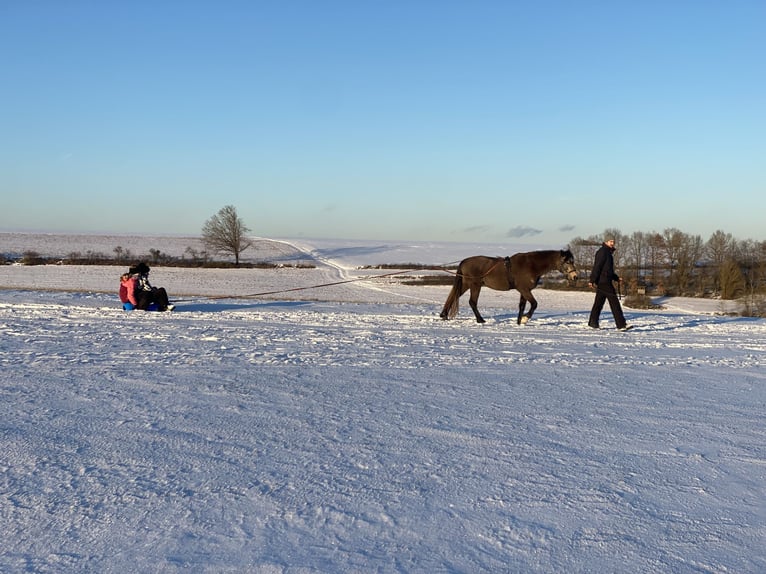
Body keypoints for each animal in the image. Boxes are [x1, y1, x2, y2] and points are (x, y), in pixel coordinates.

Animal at [440, 249, 578, 324]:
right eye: (567, 262)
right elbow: (534, 304)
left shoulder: (524, 290)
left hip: (466, 284)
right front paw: (525, 319)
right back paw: (480, 320)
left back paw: (444, 315)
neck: (531, 265)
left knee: (454, 296)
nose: (575, 276)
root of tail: (464, 261)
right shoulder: (524, 289)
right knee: (472, 302)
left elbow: (522, 306)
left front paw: (519, 322)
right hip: (474, 285)